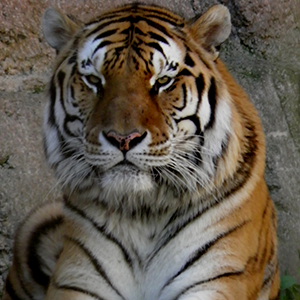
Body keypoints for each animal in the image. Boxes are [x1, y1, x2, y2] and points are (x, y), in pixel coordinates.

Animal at [2, 3, 278, 300]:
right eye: (93, 80)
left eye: (163, 81)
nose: (123, 139)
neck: (144, 213)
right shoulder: (79, 278)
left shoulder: (217, 276)